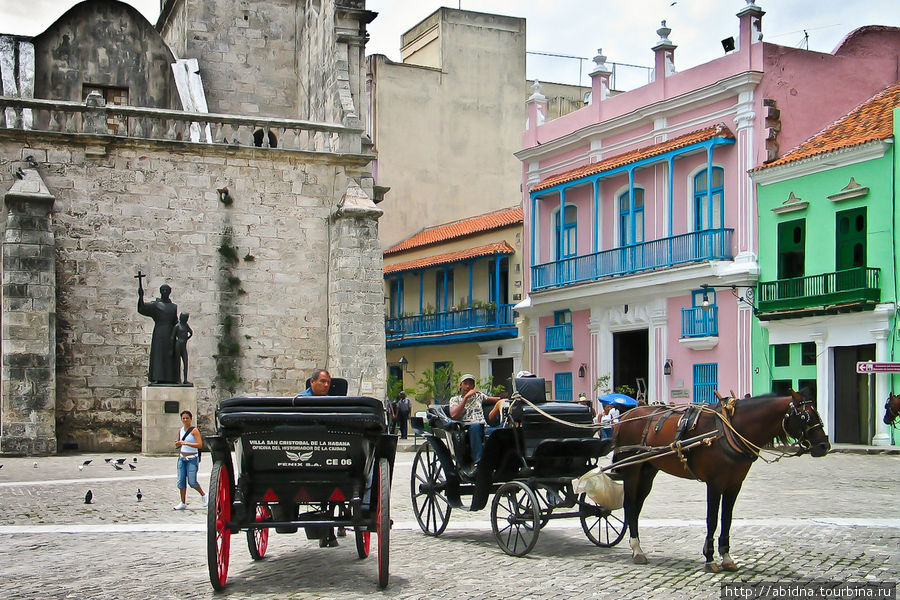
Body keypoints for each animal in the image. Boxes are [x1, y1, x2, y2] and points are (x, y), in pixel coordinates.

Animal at [612, 390, 828, 572]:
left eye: (817, 413)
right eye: (805, 417)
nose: (824, 445)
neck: (730, 431)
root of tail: (626, 416)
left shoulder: (734, 484)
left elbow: (727, 519)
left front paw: (727, 557)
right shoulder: (715, 484)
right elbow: (712, 520)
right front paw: (710, 559)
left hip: (648, 470)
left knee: (636, 507)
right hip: (632, 470)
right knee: (629, 504)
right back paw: (637, 550)